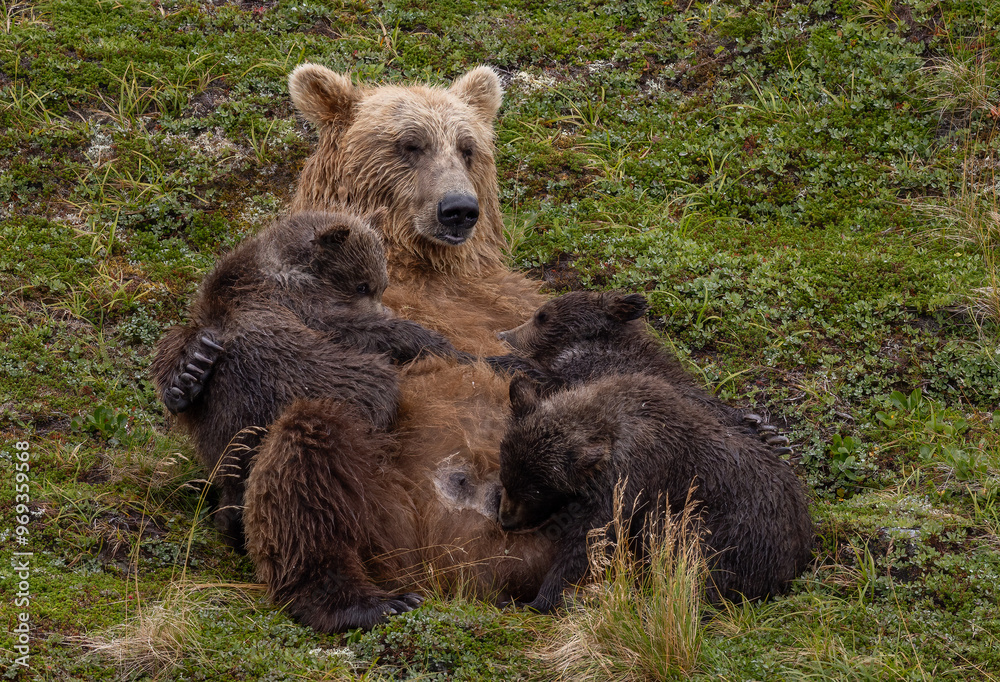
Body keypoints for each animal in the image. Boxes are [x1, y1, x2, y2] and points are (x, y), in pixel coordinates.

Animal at [151, 210, 460, 548]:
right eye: (362, 285)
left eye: (380, 285)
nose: (386, 308)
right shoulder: (301, 301)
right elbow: (358, 328)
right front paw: (442, 344)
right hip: (330, 381)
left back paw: (189, 378)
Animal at [498, 372, 815, 612]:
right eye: (506, 476)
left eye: (537, 491)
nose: (505, 519)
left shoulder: (634, 475)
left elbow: (593, 536)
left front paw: (541, 597)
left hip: (730, 533)